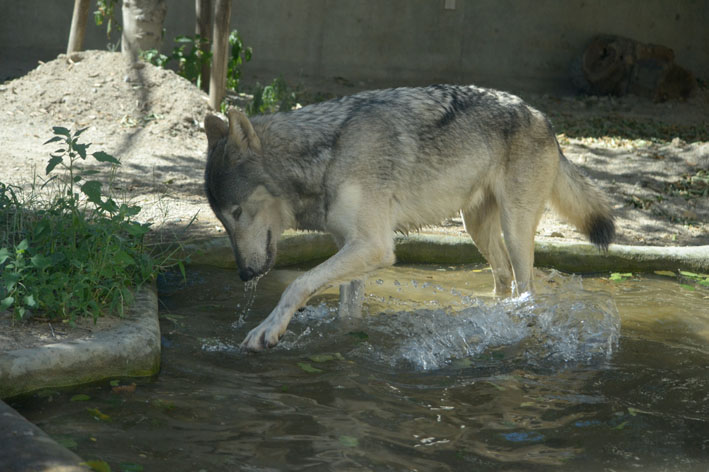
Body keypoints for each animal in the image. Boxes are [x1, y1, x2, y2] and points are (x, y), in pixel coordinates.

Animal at [203, 84, 612, 350]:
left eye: (237, 212)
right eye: (221, 220)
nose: (244, 275)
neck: (328, 155)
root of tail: (542, 117)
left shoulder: (373, 246)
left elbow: (297, 284)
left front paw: (268, 330)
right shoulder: (350, 246)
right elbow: (346, 310)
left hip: (514, 229)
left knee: (526, 288)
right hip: (476, 227)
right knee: (503, 278)